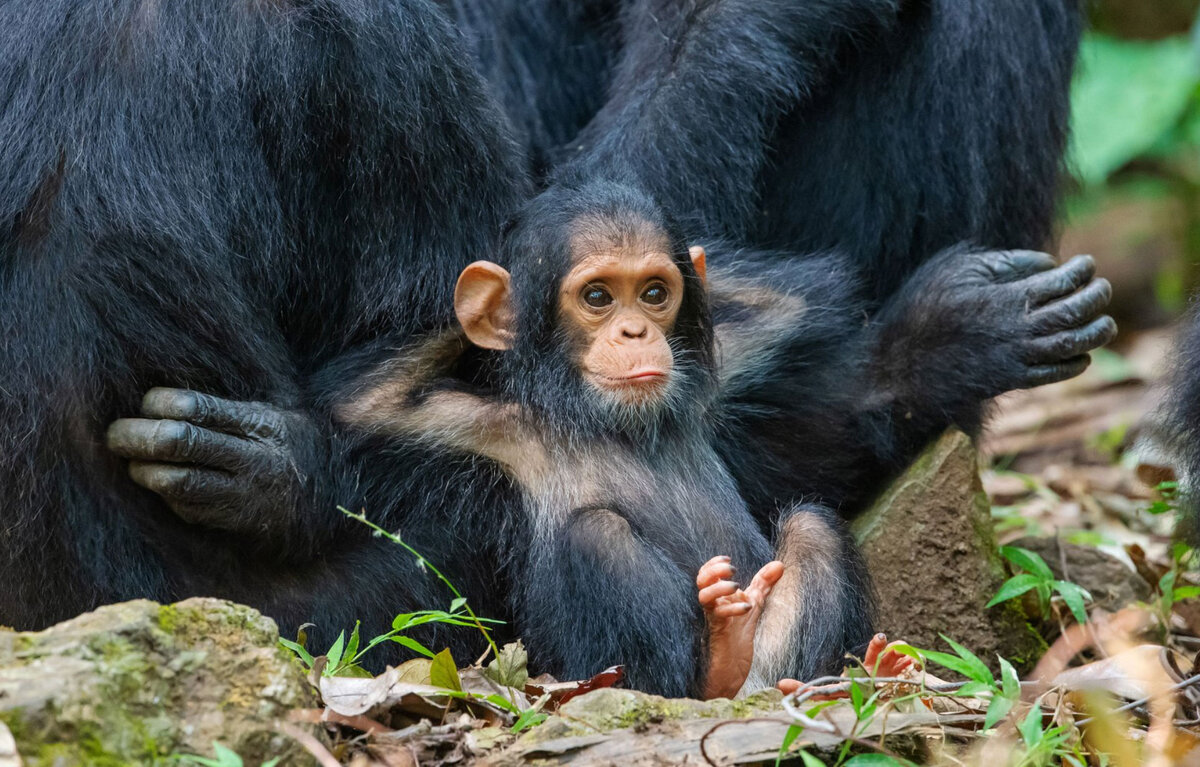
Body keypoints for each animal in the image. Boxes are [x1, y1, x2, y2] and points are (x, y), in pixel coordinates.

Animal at [328, 184, 1113, 696]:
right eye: (595, 297)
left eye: (653, 292)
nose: (634, 331)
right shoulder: (475, 428)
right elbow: (360, 405)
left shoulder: (730, 362)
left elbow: (796, 335)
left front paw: (958, 335)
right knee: (596, 535)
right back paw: (717, 664)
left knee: (810, 527)